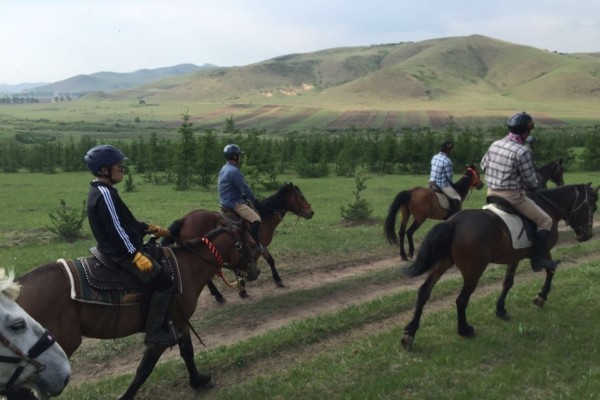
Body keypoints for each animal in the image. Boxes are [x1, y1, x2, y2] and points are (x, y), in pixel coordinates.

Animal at [14, 225, 258, 400]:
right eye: (250, 244)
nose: (255, 272)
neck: (185, 268)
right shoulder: (164, 333)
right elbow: (144, 369)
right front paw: (126, 396)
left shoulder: (180, 323)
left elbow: (187, 352)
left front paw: (198, 380)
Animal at [164, 181, 314, 300]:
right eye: (301, 197)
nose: (311, 212)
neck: (264, 215)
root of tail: (184, 220)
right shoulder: (259, 246)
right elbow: (255, 263)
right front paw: (247, 287)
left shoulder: (257, 248)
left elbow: (263, 262)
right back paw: (218, 295)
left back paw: (217, 294)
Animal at [400, 184, 596, 350]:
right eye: (593, 207)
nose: (587, 235)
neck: (548, 207)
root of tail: (452, 222)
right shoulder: (544, 251)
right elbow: (550, 270)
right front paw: (541, 297)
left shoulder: (515, 257)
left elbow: (507, 283)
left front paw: (501, 309)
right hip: (474, 271)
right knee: (461, 299)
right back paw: (464, 330)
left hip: (443, 263)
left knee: (424, 291)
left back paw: (410, 333)